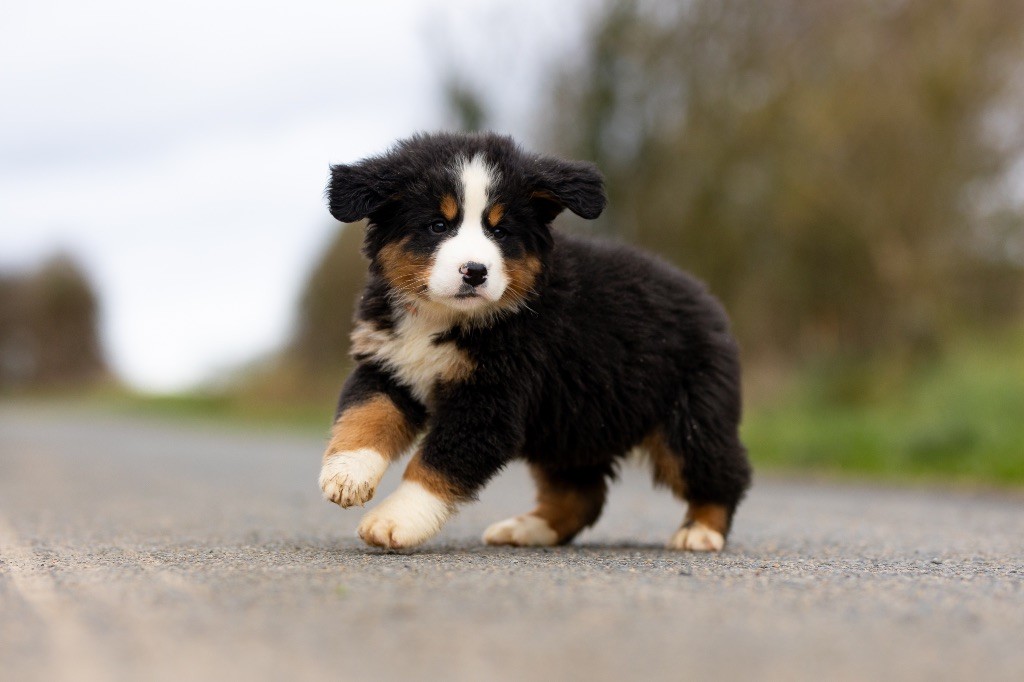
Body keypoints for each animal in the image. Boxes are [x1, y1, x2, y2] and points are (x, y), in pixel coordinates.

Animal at [317, 130, 753, 548]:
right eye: (438, 225)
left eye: (500, 231)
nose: (475, 271)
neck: (444, 317)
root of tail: (708, 301)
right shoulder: (388, 365)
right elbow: (366, 414)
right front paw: (348, 472)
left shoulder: (490, 400)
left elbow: (436, 463)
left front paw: (395, 519)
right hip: (574, 421)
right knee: (582, 493)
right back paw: (528, 529)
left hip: (688, 415)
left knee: (723, 471)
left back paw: (701, 531)